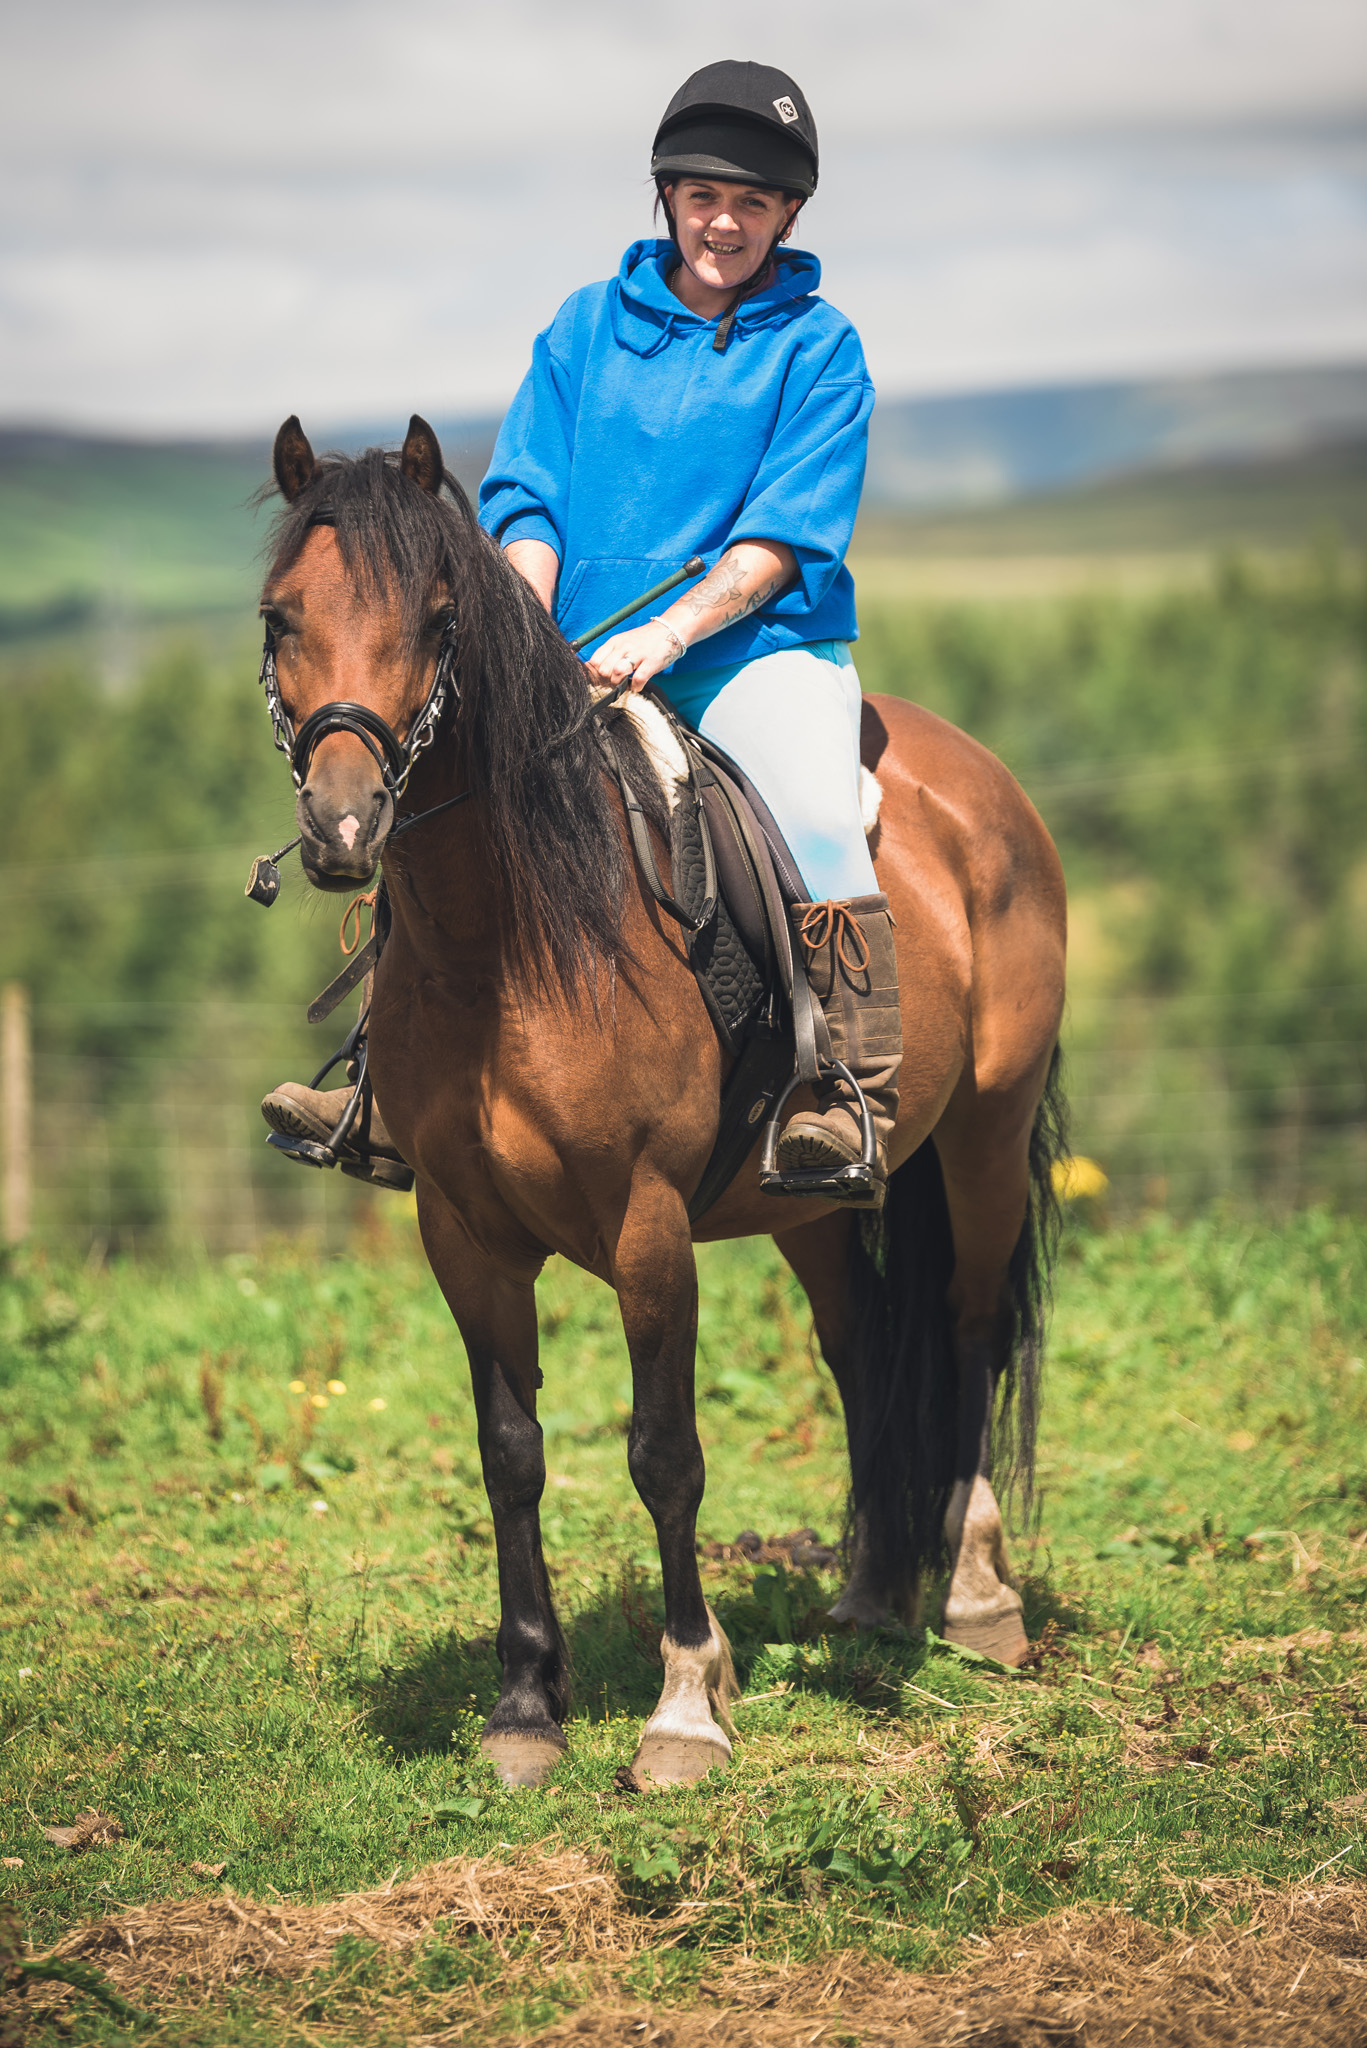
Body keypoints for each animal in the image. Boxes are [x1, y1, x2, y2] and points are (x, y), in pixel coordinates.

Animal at [256, 419, 1065, 1794]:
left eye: (436, 619)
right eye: (280, 616)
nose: (346, 823)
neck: (510, 942)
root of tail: (980, 780)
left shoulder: (645, 1226)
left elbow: (662, 1453)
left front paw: (687, 1701)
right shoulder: (462, 1232)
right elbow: (511, 1452)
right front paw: (526, 1702)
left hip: (985, 1135)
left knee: (963, 1331)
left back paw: (972, 1595)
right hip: (809, 1200)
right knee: (860, 1345)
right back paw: (865, 1596)